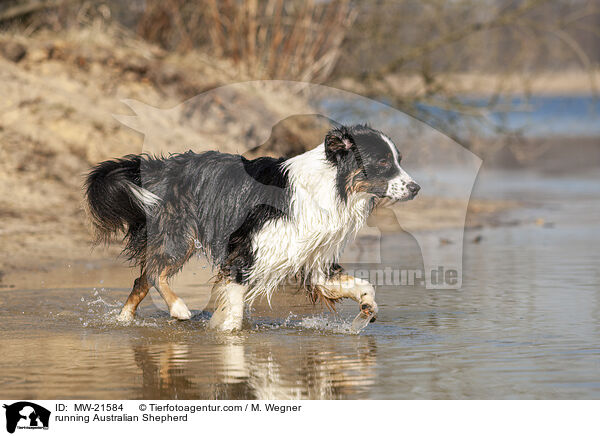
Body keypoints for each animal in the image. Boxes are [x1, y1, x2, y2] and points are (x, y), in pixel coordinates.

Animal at [85, 124, 422, 328]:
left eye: (398, 160)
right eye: (383, 162)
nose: (416, 188)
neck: (330, 186)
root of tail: (157, 166)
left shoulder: (313, 258)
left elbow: (358, 284)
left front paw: (368, 305)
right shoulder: (245, 253)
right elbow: (232, 315)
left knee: (141, 279)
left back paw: (124, 321)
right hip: (177, 234)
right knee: (155, 273)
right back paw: (179, 308)